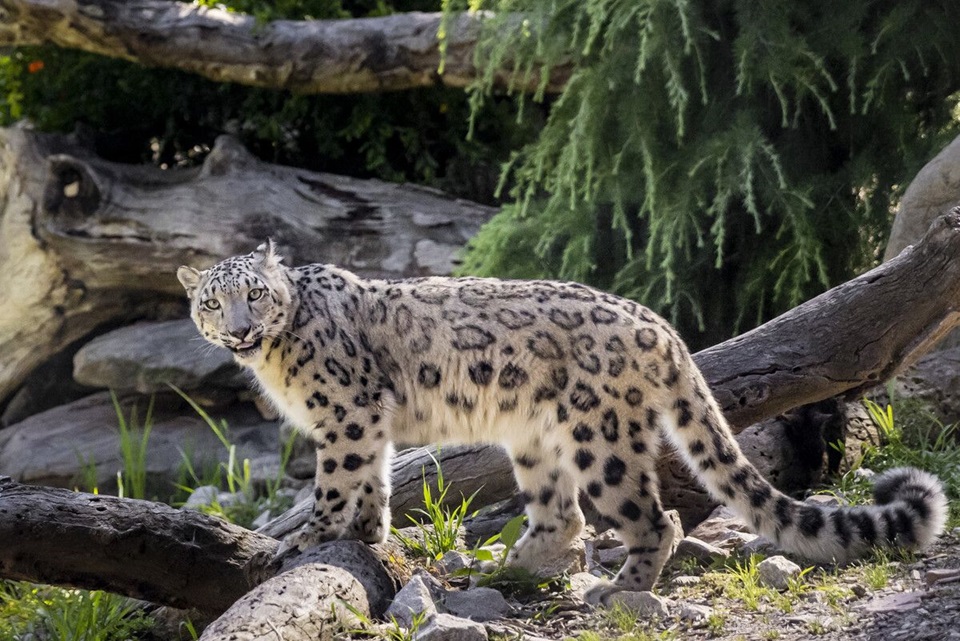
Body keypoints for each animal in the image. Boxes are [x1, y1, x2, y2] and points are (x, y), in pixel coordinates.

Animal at [176, 241, 948, 604]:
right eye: (213, 302)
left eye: (254, 294)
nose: (238, 328)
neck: (277, 362)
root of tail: (657, 324)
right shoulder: (366, 422)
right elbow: (374, 481)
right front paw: (368, 534)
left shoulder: (346, 412)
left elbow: (338, 480)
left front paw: (306, 539)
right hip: (534, 440)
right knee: (564, 516)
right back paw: (512, 567)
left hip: (599, 440)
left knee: (654, 517)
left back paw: (622, 589)